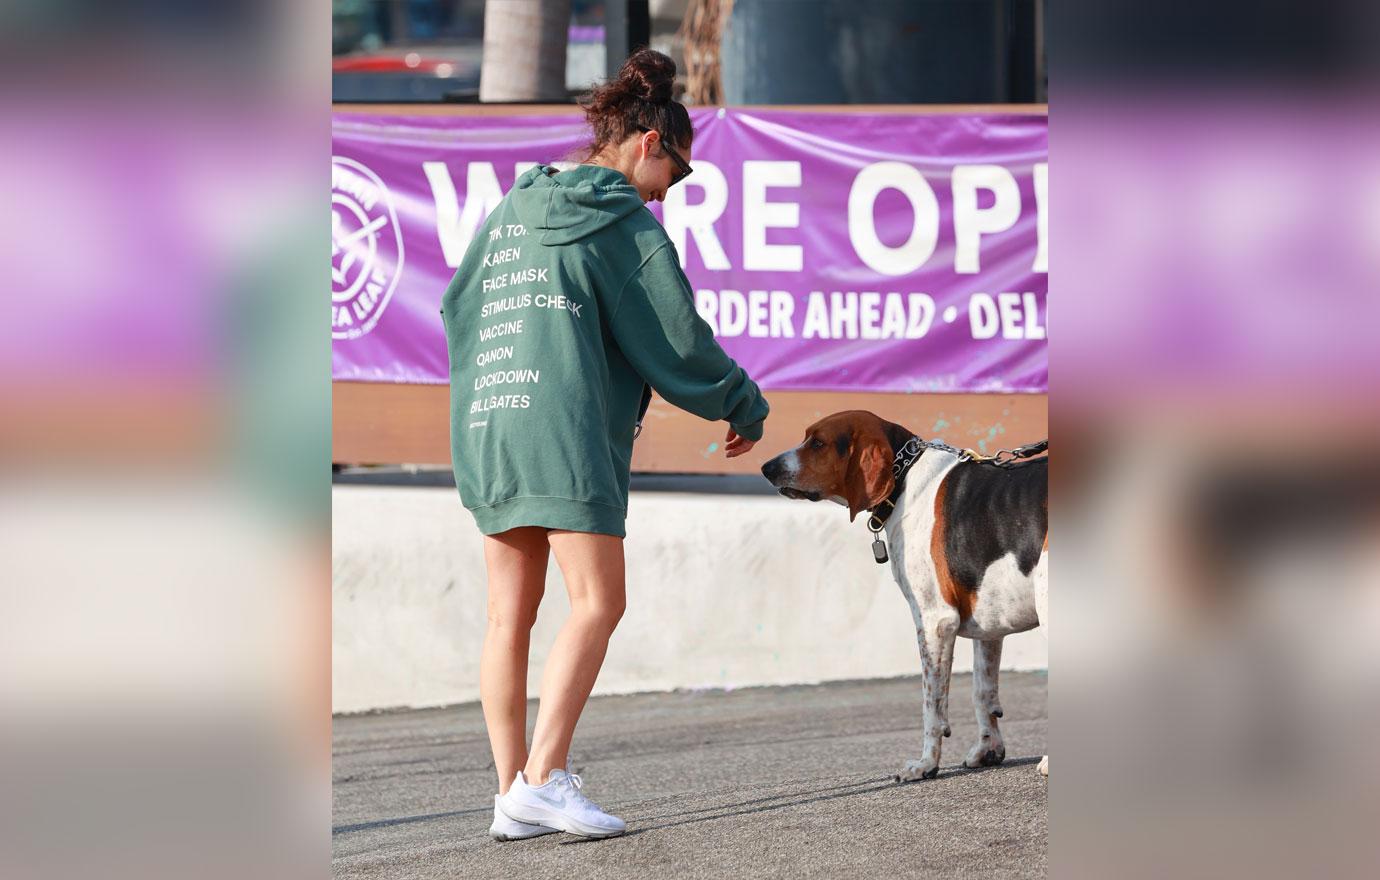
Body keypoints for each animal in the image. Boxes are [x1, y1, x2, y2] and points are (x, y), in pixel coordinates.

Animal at [767, 411, 1043, 783]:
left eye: (818, 442)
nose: (767, 467)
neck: (904, 478)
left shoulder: (934, 622)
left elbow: (931, 705)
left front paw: (926, 764)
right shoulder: (989, 625)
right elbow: (983, 692)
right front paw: (988, 750)